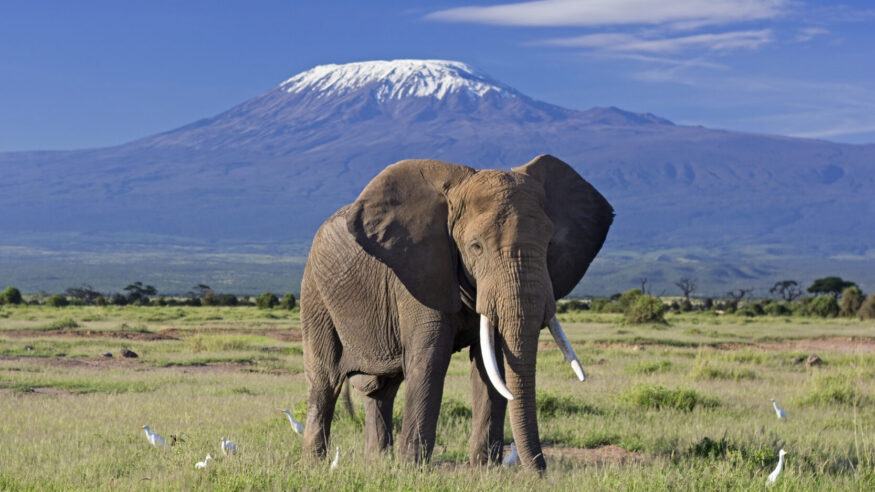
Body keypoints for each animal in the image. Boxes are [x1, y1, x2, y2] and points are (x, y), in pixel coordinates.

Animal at [300, 154, 613, 471]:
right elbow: (430, 359)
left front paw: (485, 470)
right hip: (315, 294)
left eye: (549, 244)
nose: (540, 473)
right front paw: (413, 470)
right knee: (325, 380)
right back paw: (315, 464)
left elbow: (491, 364)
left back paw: (378, 463)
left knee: (382, 388)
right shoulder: (419, 273)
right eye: (476, 247)